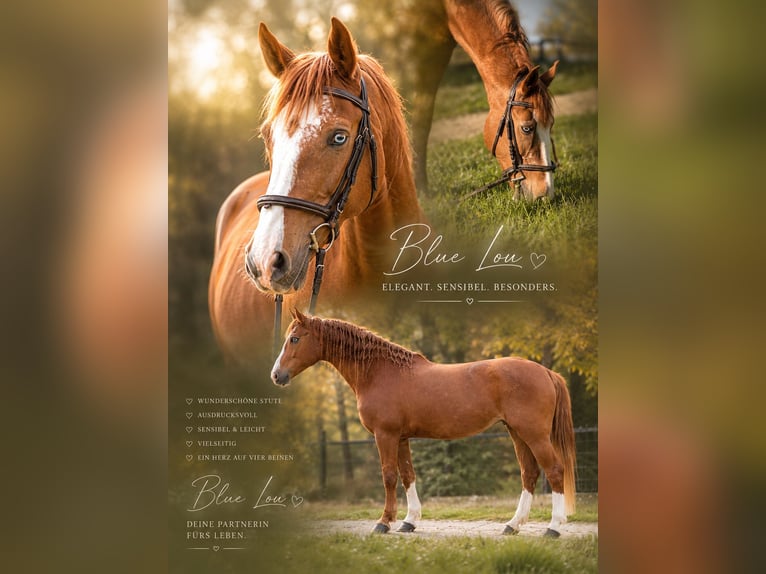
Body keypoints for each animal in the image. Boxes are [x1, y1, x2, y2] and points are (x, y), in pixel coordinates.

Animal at [271, 309, 577, 537]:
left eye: (295, 339)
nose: (277, 375)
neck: (380, 372)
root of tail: (545, 372)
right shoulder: (401, 437)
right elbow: (408, 475)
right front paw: (409, 521)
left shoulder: (385, 435)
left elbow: (389, 476)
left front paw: (384, 522)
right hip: (517, 433)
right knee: (529, 474)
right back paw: (512, 525)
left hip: (534, 435)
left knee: (554, 470)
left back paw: (553, 527)